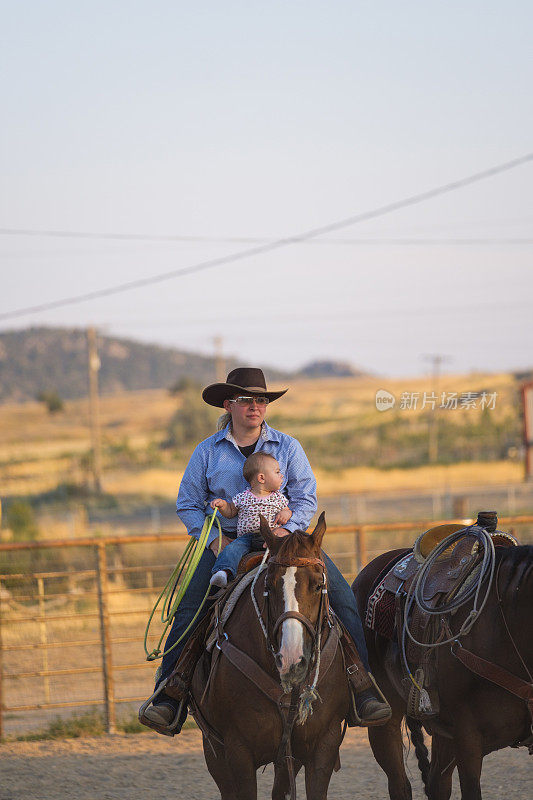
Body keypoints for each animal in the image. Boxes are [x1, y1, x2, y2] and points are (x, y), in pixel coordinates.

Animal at [187, 512, 350, 800]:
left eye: (318, 585)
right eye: (269, 586)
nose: (292, 659)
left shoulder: (323, 745)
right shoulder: (237, 751)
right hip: (213, 750)